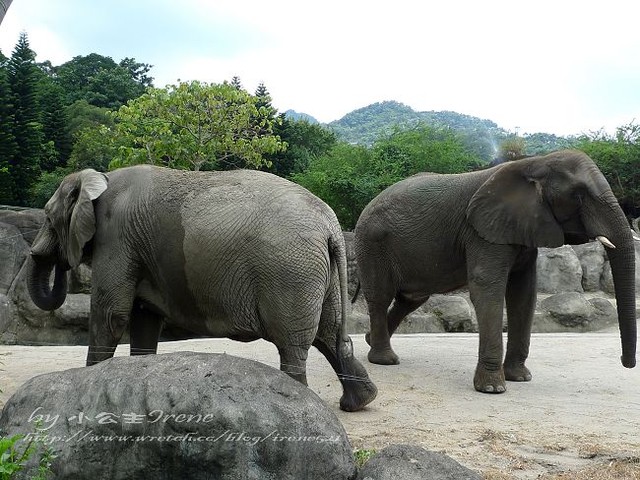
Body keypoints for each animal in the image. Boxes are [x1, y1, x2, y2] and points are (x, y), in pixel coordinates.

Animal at [27, 166, 378, 412]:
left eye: (48, 218)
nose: (59, 262)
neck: (100, 177)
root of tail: (331, 226)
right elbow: (144, 318)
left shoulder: (116, 238)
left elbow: (113, 314)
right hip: (316, 270)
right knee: (330, 334)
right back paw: (358, 402)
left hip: (290, 270)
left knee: (294, 342)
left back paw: (299, 401)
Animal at [356, 149, 636, 394]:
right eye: (578, 196)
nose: (627, 363)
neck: (535, 162)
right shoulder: (482, 231)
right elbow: (487, 287)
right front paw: (492, 388)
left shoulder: (521, 229)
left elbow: (524, 294)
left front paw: (520, 378)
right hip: (372, 242)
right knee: (381, 296)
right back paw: (385, 359)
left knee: (411, 299)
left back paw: (371, 340)